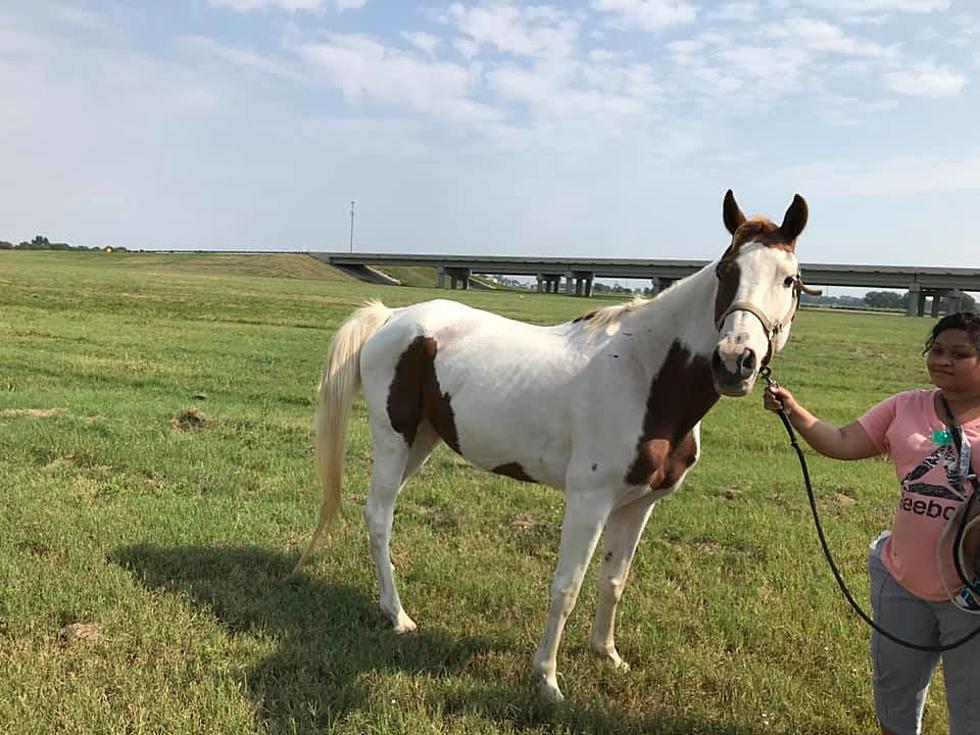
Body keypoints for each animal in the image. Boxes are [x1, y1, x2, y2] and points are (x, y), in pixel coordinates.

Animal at [296, 188, 812, 700]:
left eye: (790, 280)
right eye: (727, 271)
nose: (735, 361)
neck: (645, 375)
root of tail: (392, 317)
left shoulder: (639, 504)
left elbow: (614, 579)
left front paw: (608, 654)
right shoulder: (589, 501)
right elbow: (567, 585)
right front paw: (546, 678)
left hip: (423, 439)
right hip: (394, 438)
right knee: (379, 517)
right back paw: (399, 616)